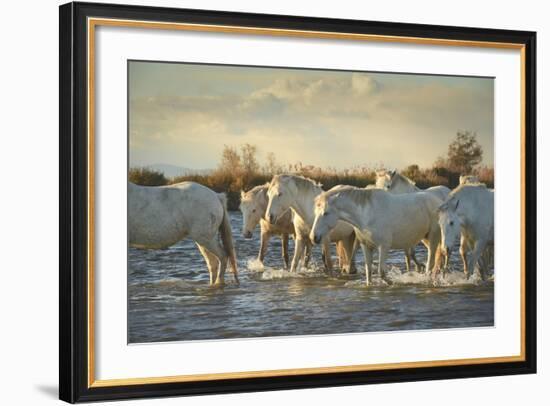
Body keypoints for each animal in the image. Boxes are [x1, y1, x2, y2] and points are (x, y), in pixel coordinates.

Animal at [310, 185, 444, 286]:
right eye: (315, 213)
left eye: (325, 213)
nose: (313, 237)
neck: (366, 215)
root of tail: (438, 201)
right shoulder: (366, 246)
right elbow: (368, 271)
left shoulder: (383, 247)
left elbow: (381, 272)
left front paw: (392, 283)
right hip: (425, 238)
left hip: (433, 237)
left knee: (430, 263)